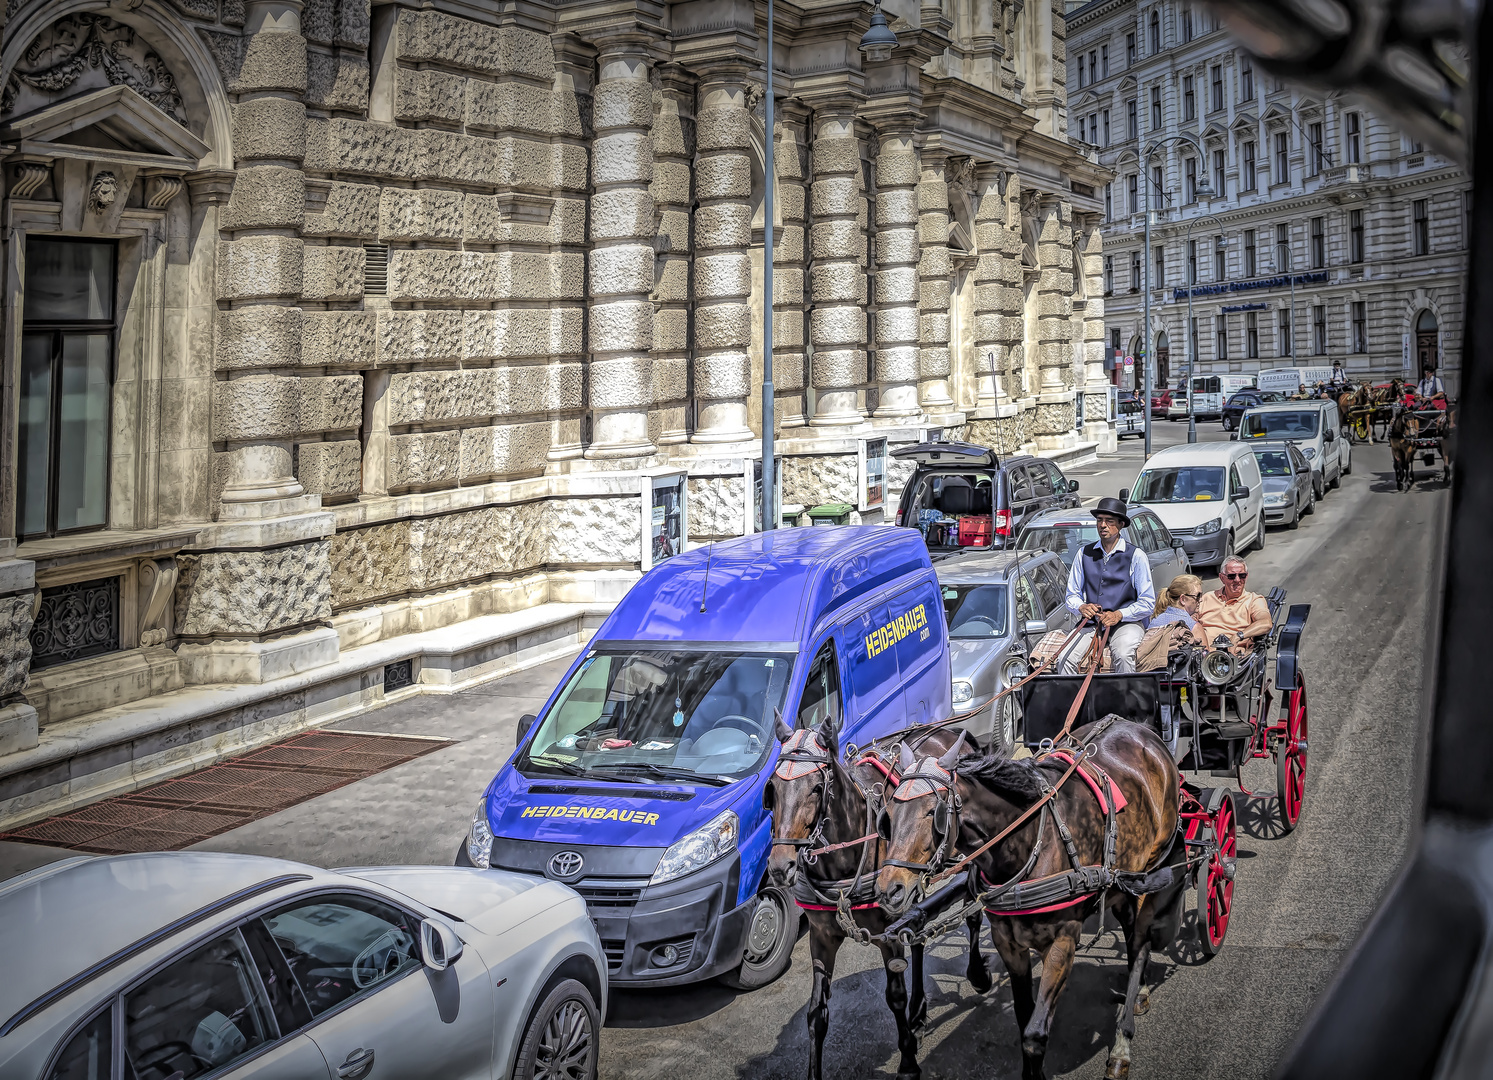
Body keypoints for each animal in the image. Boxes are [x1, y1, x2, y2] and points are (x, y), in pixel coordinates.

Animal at [764, 717, 997, 1080]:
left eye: (816, 788)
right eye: (772, 789)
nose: (779, 866)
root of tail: (950, 733)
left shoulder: (887, 935)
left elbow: (895, 996)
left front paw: (908, 1063)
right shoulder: (821, 937)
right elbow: (817, 1012)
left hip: (969, 851)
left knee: (973, 907)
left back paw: (976, 973)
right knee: (917, 931)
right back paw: (919, 1012)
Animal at [871, 717, 1176, 1080]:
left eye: (934, 813)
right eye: (887, 815)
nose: (889, 888)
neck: (1030, 840)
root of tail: (1140, 727)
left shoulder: (1062, 944)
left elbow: (1034, 1035)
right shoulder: (1009, 943)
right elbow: (1022, 1017)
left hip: (1149, 869)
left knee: (1140, 944)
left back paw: (1123, 1039)